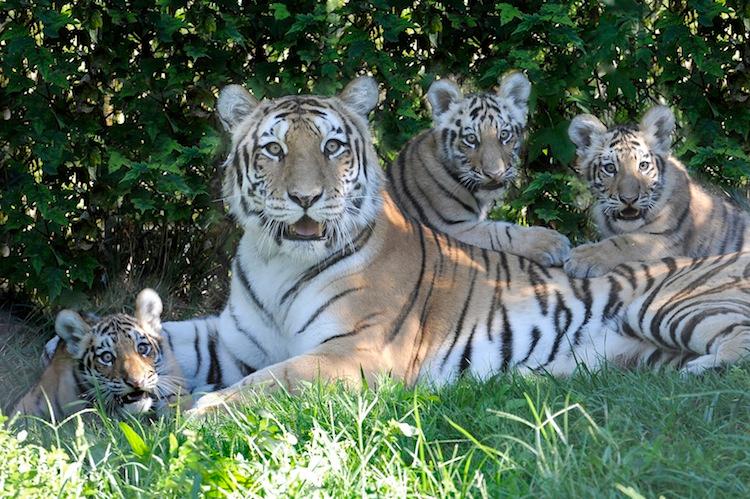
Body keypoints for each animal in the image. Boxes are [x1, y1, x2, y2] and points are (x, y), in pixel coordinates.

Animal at [387, 72, 571, 267]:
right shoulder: (451, 227)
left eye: (504, 135)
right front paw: (552, 242)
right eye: (471, 139)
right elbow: (500, 232)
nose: (495, 174)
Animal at [565, 105, 750, 278]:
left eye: (643, 165)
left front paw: (582, 258)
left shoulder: (667, 240)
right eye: (610, 168)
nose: (629, 199)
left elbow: (626, 242)